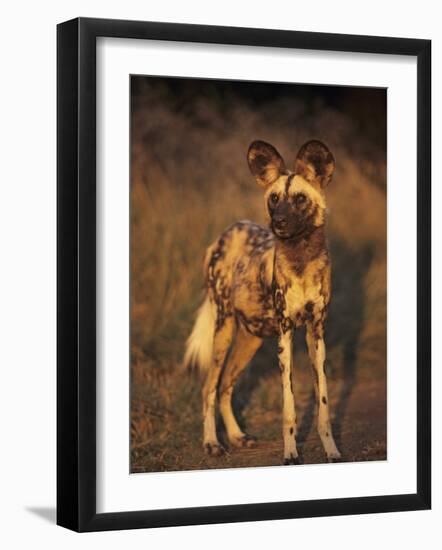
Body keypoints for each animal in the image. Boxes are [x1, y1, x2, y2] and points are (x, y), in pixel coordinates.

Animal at [183, 139, 342, 466]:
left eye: (299, 199)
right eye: (274, 199)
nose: (278, 222)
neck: (301, 259)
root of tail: (224, 235)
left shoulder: (316, 333)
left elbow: (323, 402)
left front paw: (331, 450)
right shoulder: (285, 335)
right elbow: (289, 407)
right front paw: (291, 453)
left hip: (250, 339)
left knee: (225, 386)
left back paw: (236, 436)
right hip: (223, 330)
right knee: (208, 388)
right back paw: (212, 443)